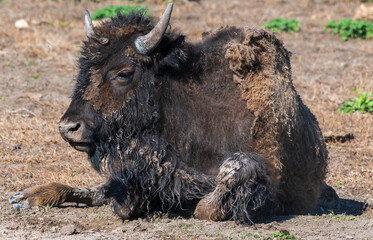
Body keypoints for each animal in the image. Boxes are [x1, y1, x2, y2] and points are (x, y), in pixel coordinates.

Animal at [9, 2, 328, 223]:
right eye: (83, 69)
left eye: (124, 73)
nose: (69, 128)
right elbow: (120, 197)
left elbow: (217, 191)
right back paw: (27, 196)